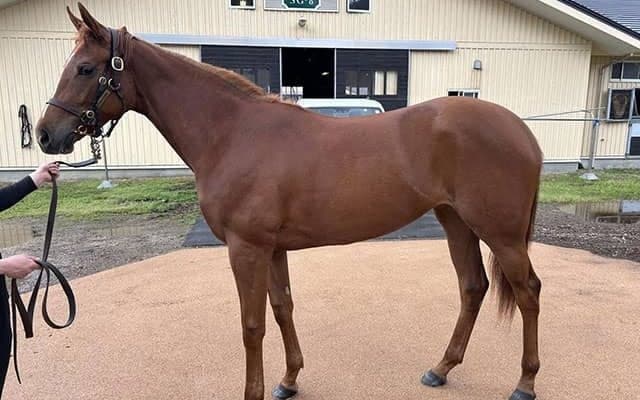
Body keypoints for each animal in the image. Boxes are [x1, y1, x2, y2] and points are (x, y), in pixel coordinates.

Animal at [36, 4, 543, 400]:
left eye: (85, 68)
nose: (44, 135)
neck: (232, 132)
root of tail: (521, 130)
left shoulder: (246, 248)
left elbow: (251, 325)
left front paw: (255, 391)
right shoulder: (272, 248)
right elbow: (282, 309)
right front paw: (289, 380)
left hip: (501, 234)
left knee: (529, 293)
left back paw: (524, 384)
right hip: (456, 221)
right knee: (473, 287)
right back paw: (440, 369)